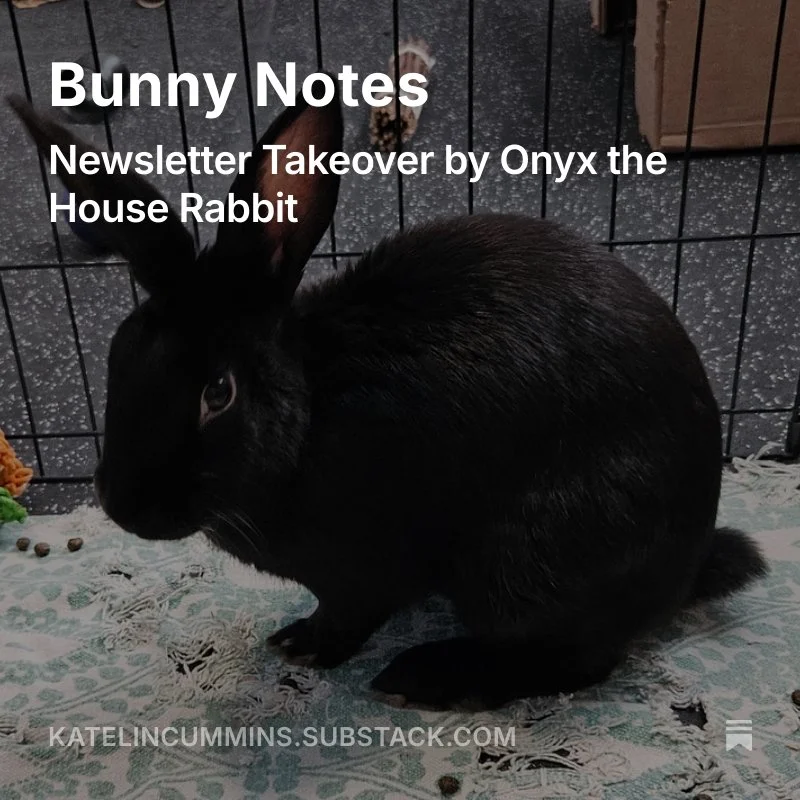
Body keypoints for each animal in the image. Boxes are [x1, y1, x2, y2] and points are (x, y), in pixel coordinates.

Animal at [9, 88, 768, 710]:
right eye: (118, 354)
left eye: (217, 393)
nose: (124, 507)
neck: (309, 417)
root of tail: (684, 571)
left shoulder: (368, 567)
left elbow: (351, 611)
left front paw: (304, 645)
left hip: (531, 561)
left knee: (577, 660)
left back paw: (426, 678)